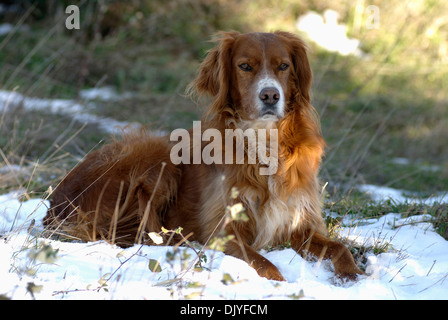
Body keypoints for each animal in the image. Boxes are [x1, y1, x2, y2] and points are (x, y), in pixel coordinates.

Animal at [43, 31, 362, 282]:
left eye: (283, 66)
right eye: (245, 66)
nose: (270, 95)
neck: (265, 142)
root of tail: (53, 208)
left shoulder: (300, 224)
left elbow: (340, 248)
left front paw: (353, 275)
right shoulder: (225, 231)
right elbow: (264, 264)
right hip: (157, 153)